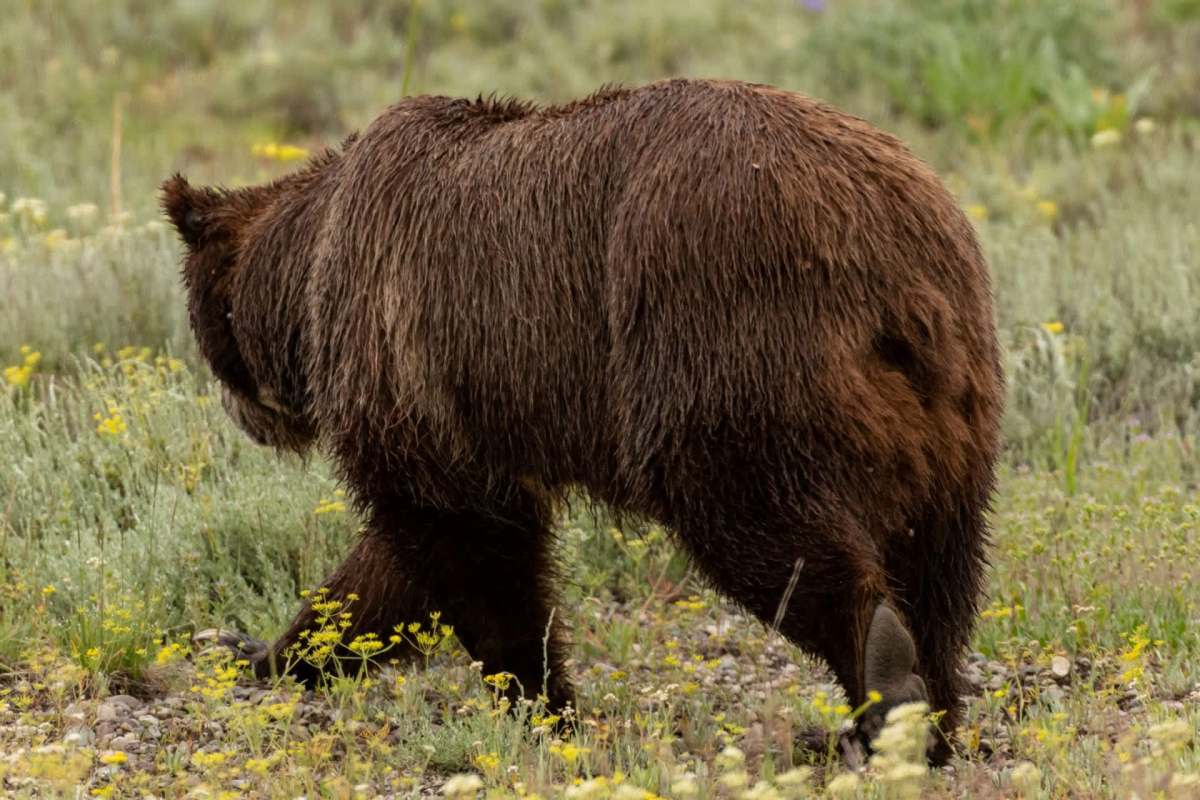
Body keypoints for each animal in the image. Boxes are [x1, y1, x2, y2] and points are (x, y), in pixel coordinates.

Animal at [162, 78, 1003, 762]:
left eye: (204, 328)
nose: (243, 418)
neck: (309, 271)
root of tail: (891, 272)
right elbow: (392, 571)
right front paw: (261, 647)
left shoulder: (412, 348)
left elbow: (464, 542)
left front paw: (541, 702)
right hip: (952, 403)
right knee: (938, 562)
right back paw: (925, 713)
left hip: (724, 333)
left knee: (764, 524)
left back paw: (882, 688)